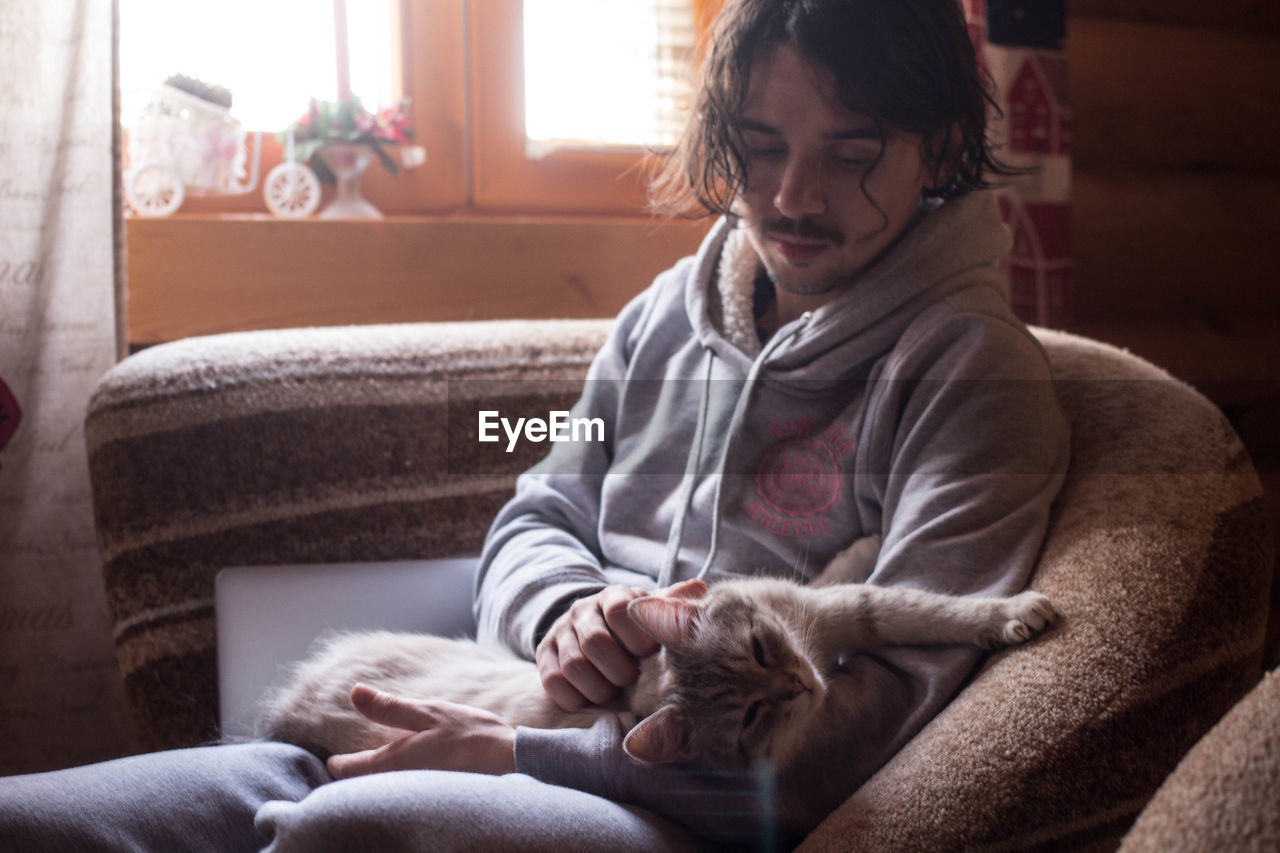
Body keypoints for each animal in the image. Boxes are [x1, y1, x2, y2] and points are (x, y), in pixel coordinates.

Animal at [259, 537, 1059, 768]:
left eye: (763, 648)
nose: (801, 687)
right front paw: (1015, 613)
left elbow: (885, 588)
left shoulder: (830, 610)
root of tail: (281, 712)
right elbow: (919, 609)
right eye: (750, 718)